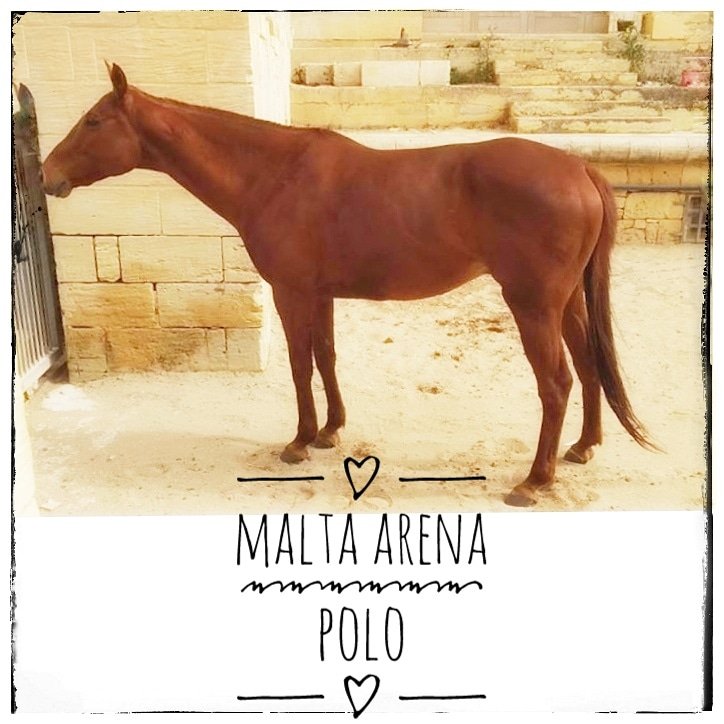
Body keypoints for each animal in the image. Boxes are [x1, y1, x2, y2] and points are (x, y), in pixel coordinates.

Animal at [41, 63, 654, 506]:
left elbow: (299, 365)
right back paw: (582, 448)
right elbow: (327, 357)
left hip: (531, 305)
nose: (46, 175)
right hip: (566, 302)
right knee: (590, 365)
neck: (273, 175)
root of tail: (578, 168)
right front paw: (332, 431)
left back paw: (534, 480)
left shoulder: (290, 293)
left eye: (93, 121)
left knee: (556, 382)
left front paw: (299, 441)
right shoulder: (321, 294)